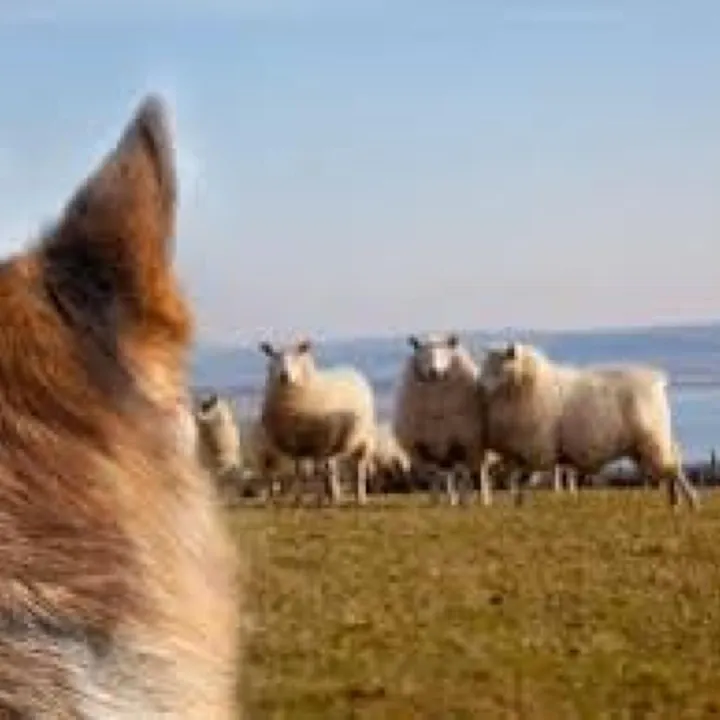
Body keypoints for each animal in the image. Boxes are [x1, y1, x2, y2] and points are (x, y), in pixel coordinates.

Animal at [258, 338, 377, 506]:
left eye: (297, 355)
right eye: (274, 355)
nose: (284, 375)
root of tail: (351, 369)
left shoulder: (319, 442)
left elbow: (319, 471)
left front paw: (319, 500)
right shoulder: (296, 445)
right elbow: (300, 472)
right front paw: (298, 499)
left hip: (361, 439)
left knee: (358, 467)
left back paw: (359, 497)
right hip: (333, 442)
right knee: (332, 466)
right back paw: (334, 494)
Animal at [393, 332, 490, 506]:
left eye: (445, 351)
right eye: (422, 351)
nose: (434, 372)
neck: (437, 406)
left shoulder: (463, 443)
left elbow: (463, 474)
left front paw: (464, 500)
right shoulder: (424, 447)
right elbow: (433, 476)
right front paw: (436, 500)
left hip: (474, 448)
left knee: (479, 472)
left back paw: (482, 498)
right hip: (443, 452)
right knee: (446, 476)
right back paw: (451, 498)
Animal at [477, 341, 699, 509]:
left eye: (497, 366)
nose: (480, 387)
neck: (527, 383)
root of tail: (656, 380)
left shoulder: (536, 448)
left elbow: (522, 479)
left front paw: (519, 503)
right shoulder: (521, 451)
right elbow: (516, 479)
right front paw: (517, 504)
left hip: (652, 439)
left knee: (674, 469)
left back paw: (690, 502)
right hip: (649, 443)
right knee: (673, 465)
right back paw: (675, 502)